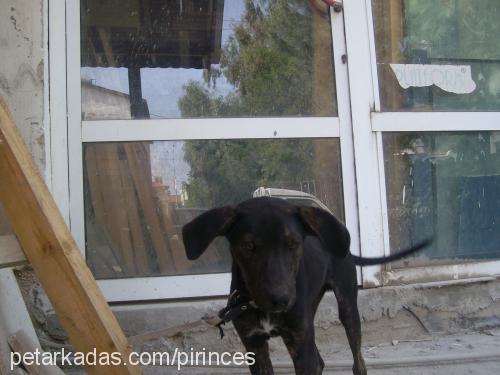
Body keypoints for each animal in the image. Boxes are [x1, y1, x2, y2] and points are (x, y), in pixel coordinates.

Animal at [183, 198, 430, 374]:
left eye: (293, 245)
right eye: (248, 246)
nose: (280, 300)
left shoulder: (300, 346)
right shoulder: (254, 344)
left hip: (347, 307)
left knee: (357, 361)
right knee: (320, 360)